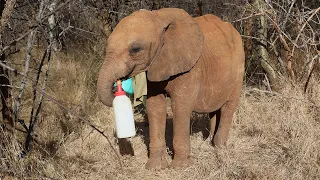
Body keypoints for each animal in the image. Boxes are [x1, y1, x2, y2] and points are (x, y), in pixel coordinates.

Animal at [96, 8, 244, 169]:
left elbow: (180, 106)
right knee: (214, 109)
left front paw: (179, 167)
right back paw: (208, 143)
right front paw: (155, 167)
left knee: (228, 107)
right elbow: (155, 106)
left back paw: (219, 146)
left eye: (135, 49)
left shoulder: (189, 68)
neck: (158, 17)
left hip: (239, 68)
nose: (118, 87)